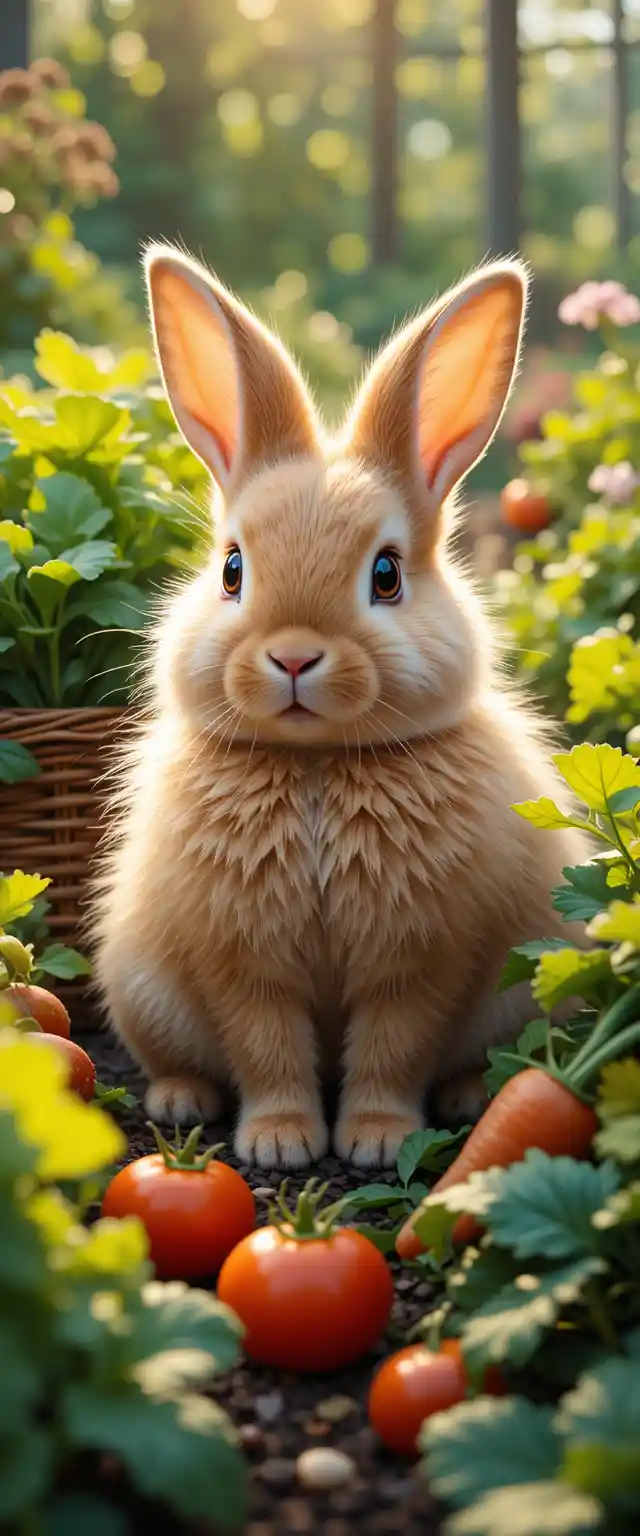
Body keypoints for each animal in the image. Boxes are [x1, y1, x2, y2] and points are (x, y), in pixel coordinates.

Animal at [91, 244, 585, 1170]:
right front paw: (281, 1143)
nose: (292, 656)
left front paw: (376, 1142)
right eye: (232, 570)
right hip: (143, 987)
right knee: (184, 1058)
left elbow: (394, 1047)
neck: (318, 762)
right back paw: (179, 1100)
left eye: (386, 574)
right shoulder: (242, 961)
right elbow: (267, 1046)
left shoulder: (421, 960)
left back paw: (468, 1097)